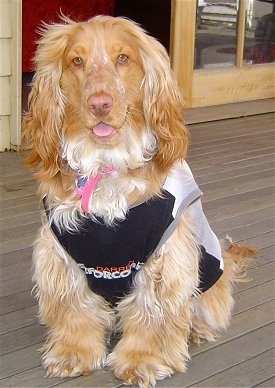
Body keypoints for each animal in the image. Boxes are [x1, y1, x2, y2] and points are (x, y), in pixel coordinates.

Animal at [22, 15, 254, 388]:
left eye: (123, 58)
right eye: (76, 61)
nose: (99, 104)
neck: (106, 164)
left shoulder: (162, 259)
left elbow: (152, 315)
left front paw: (142, 360)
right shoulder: (63, 253)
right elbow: (76, 309)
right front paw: (74, 353)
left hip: (208, 276)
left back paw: (196, 330)